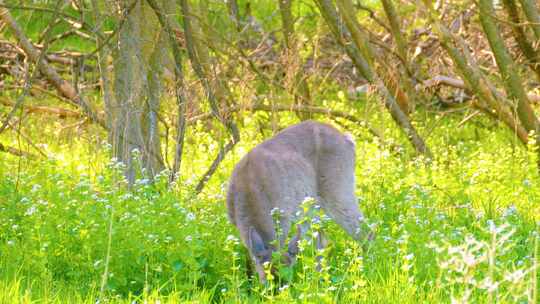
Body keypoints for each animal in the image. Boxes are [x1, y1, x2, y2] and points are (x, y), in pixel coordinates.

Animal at [226, 120, 374, 282]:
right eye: (267, 282)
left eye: (288, 280)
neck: (249, 188)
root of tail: (348, 140)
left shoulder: (282, 216)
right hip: (311, 206)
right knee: (322, 239)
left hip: (338, 191)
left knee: (366, 231)